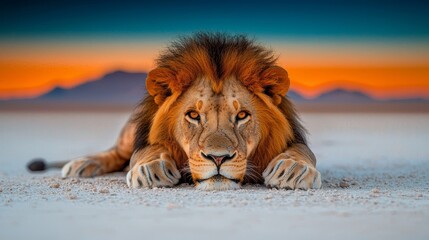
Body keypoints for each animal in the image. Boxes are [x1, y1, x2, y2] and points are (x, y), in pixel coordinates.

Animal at [56, 32, 320, 190]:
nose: (218, 158)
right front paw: (151, 169)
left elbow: (302, 151)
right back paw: (81, 164)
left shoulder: (294, 139)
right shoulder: (146, 139)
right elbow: (147, 150)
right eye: (193, 115)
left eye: (242, 115)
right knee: (117, 152)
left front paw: (293, 170)